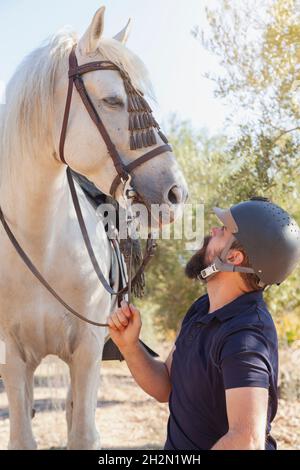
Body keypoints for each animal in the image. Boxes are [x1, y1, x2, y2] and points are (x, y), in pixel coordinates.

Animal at [0, 6, 188, 448]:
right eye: (113, 100)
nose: (175, 193)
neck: (40, 243)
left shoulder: (86, 351)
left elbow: (83, 433)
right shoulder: (13, 355)